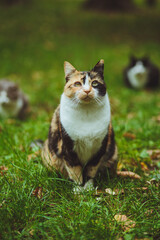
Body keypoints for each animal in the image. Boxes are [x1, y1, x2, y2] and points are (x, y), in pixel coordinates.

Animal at [42, 60, 118, 191]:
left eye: (95, 83)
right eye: (77, 83)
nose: (87, 90)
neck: (86, 114)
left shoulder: (100, 148)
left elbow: (91, 169)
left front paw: (88, 188)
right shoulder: (67, 148)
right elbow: (75, 171)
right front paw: (78, 190)